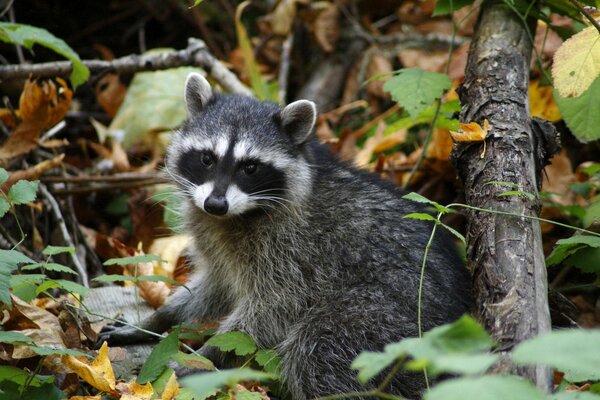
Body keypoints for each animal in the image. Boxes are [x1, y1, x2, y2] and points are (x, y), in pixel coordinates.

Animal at [98, 73, 472, 398]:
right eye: (207, 158)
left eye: (250, 167)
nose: (215, 203)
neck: (236, 216)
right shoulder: (218, 243)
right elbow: (213, 288)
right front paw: (158, 318)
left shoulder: (293, 252)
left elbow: (270, 311)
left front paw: (205, 355)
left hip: (385, 322)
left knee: (317, 349)